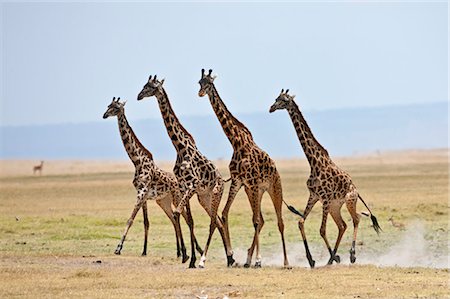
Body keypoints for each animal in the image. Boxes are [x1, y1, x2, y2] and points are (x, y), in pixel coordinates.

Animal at [103, 97, 201, 262]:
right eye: (108, 106)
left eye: (115, 107)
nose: (104, 115)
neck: (136, 161)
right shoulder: (142, 195)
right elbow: (146, 222)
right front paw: (143, 251)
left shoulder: (142, 193)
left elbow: (130, 219)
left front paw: (118, 248)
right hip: (163, 201)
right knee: (174, 218)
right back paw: (180, 252)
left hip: (176, 197)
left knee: (184, 218)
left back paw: (193, 251)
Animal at [137, 75, 236, 270]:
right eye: (144, 85)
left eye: (150, 86)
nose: (138, 96)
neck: (179, 147)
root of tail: (223, 179)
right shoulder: (185, 188)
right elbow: (189, 220)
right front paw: (189, 259)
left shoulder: (192, 185)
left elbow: (177, 214)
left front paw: (189, 257)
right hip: (204, 197)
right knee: (218, 221)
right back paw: (230, 258)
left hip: (215, 193)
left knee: (215, 221)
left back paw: (217, 259)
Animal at [199, 69, 290, 268]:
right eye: (199, 82)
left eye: (208, 83)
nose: (200, 93)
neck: (236, 142)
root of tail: (276, 169)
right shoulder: (238, 181)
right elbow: (225, 213)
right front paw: (232, 255)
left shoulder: (252, 183)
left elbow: (254, 221)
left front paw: (258, 259)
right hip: (255, 191)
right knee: (261, 219)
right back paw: (248, 259)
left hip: (274, 188)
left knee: (279, 221)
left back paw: (285, 262)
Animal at [268, 88, 382, 268]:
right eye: (276, 98)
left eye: (284, 100)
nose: (271, 108)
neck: (313, 162)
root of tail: (356, 189)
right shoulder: (315, 196)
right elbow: (301, 222)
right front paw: (312, 259)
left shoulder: (325, 198)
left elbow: (322, 230)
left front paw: (330, 257)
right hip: (335, 206)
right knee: (342, 225)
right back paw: (331, 258)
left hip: (349, 200)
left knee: (356, 219)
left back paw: (351, 255)